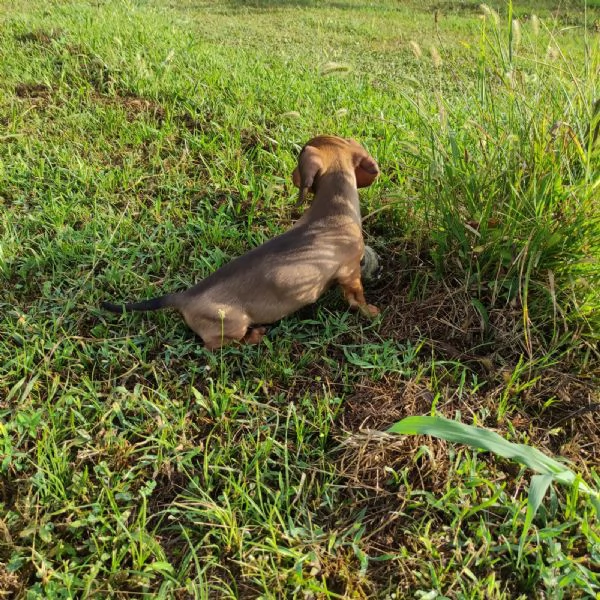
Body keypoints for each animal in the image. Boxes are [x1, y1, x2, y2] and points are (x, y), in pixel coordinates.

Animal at [100, 134, 378, 350]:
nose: (290, 175)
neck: (333, 209)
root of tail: (184, 297)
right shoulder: (350, 272)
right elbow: (357, 297)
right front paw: (370, 312)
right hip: (233, 324)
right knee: (214, 345)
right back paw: (255, 336)